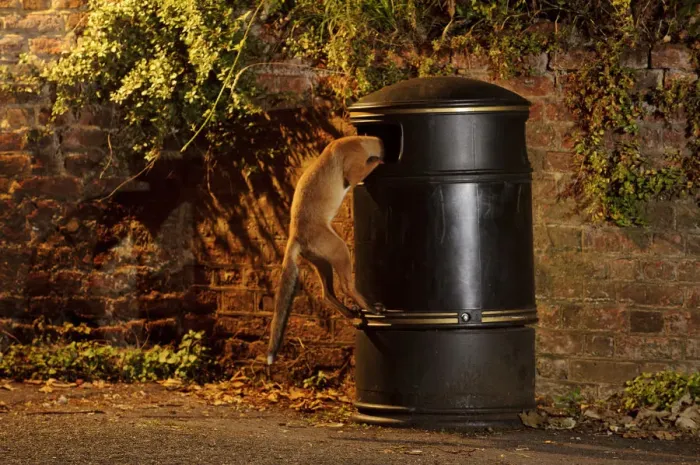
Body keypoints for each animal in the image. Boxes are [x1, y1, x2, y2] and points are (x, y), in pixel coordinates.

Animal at [266, 135, 386, 365]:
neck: (358, 141)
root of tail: (294, 236)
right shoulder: (353, 172)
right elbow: (368, 167)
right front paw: (379, 160)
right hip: (341, 250)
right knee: (346, 287)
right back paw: (370, 308)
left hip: (323, 264)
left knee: (327, 294)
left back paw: (353, 315)